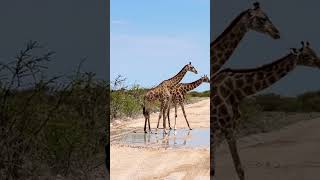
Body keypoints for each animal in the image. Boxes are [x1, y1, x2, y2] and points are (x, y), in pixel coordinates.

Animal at [211, 41, 320, 179]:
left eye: (314, 51)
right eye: (306, 55)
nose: (319, 63)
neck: (237, 90)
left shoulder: (225, 127)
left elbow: (213, 166)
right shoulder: (226, 126)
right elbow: (239, 168)